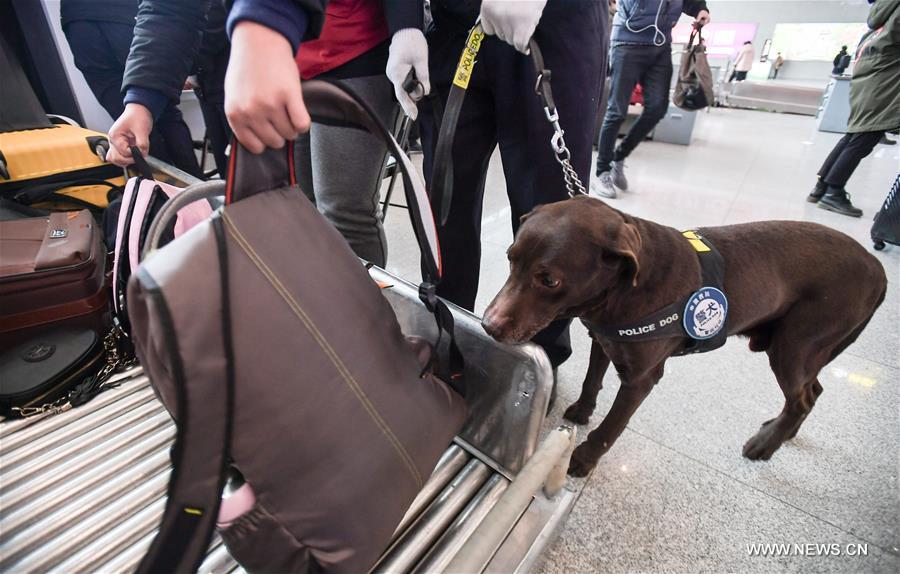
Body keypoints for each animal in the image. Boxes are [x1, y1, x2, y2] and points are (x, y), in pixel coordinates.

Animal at [486, 197, 884, 476]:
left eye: (549, 280)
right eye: (510, 258)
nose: (488, 326)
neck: (626, 288)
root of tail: (877, 269)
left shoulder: (642, 378)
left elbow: (613, 425)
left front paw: (583, 458)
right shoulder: (604, 341)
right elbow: (591, 381)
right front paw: (583, 411)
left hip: (794, 347)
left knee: (800, 399)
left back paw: (765, 445)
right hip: (807, 351)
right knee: (812, 391)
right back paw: (782, 433)